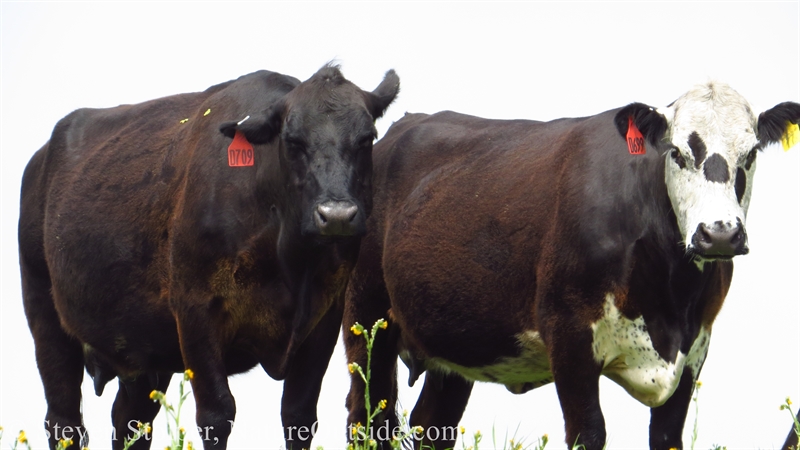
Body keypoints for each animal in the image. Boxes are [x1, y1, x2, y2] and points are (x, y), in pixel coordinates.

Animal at [20, 63, 400, 450]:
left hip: (143, 346)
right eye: (292, 140)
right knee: (64, 420)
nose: (336, 215)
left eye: (367, 138)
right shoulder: (195, 310)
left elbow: (299, 415)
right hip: (44, 315)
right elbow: (216, 414)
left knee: (130, 420)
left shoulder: (324, 316)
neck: (289, 262)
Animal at [344, 81, 800, 450]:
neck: (670, 301)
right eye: (677, 152)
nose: (719, 234)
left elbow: (667, 436)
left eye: (751, 153)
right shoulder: (569, 336)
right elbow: (589, 433)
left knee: (430, 426)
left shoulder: (694, 352)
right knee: (366, 420)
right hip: (366, 318)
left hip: (457, 340)